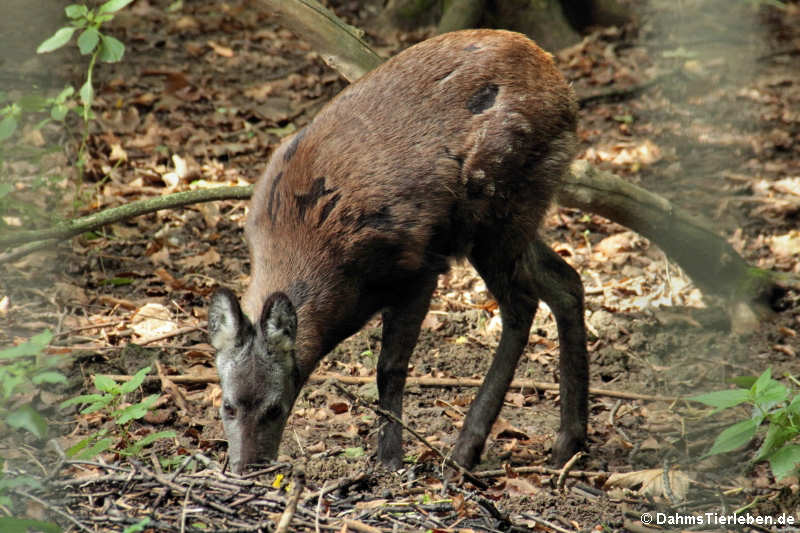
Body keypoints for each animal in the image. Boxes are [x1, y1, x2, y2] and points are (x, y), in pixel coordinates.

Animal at [209, 29, 592, 472]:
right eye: (227, 406)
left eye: (275, 407)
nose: (246, 467)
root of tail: (563, 91)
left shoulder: (419, 267)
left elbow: (389, 367)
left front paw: (389, 457)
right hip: (515, 217)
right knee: (566, 282)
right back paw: (568, 442)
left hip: (497, 206)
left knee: (522, 303)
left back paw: (467, 448)